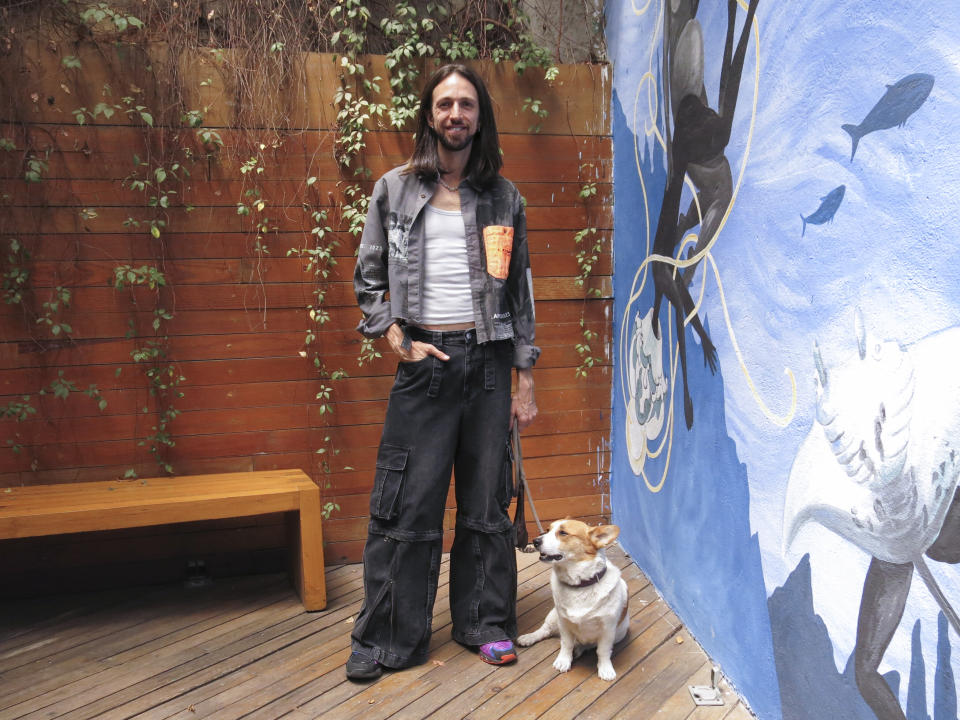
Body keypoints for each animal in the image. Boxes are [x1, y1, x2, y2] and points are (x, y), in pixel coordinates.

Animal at [516, 516, 632, 680]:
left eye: (563, 533)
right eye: (548, 530)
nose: (535, 540)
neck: (580, 585)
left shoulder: (607, 630)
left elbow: (602, 651)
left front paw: (605, 669)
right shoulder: (564, 623)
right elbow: (566, 644)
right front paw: (563, 661)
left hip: (620, 633)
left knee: (588, 645)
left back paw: (579, 649)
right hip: (553, 615)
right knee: (545, 630)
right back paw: (528, 638)